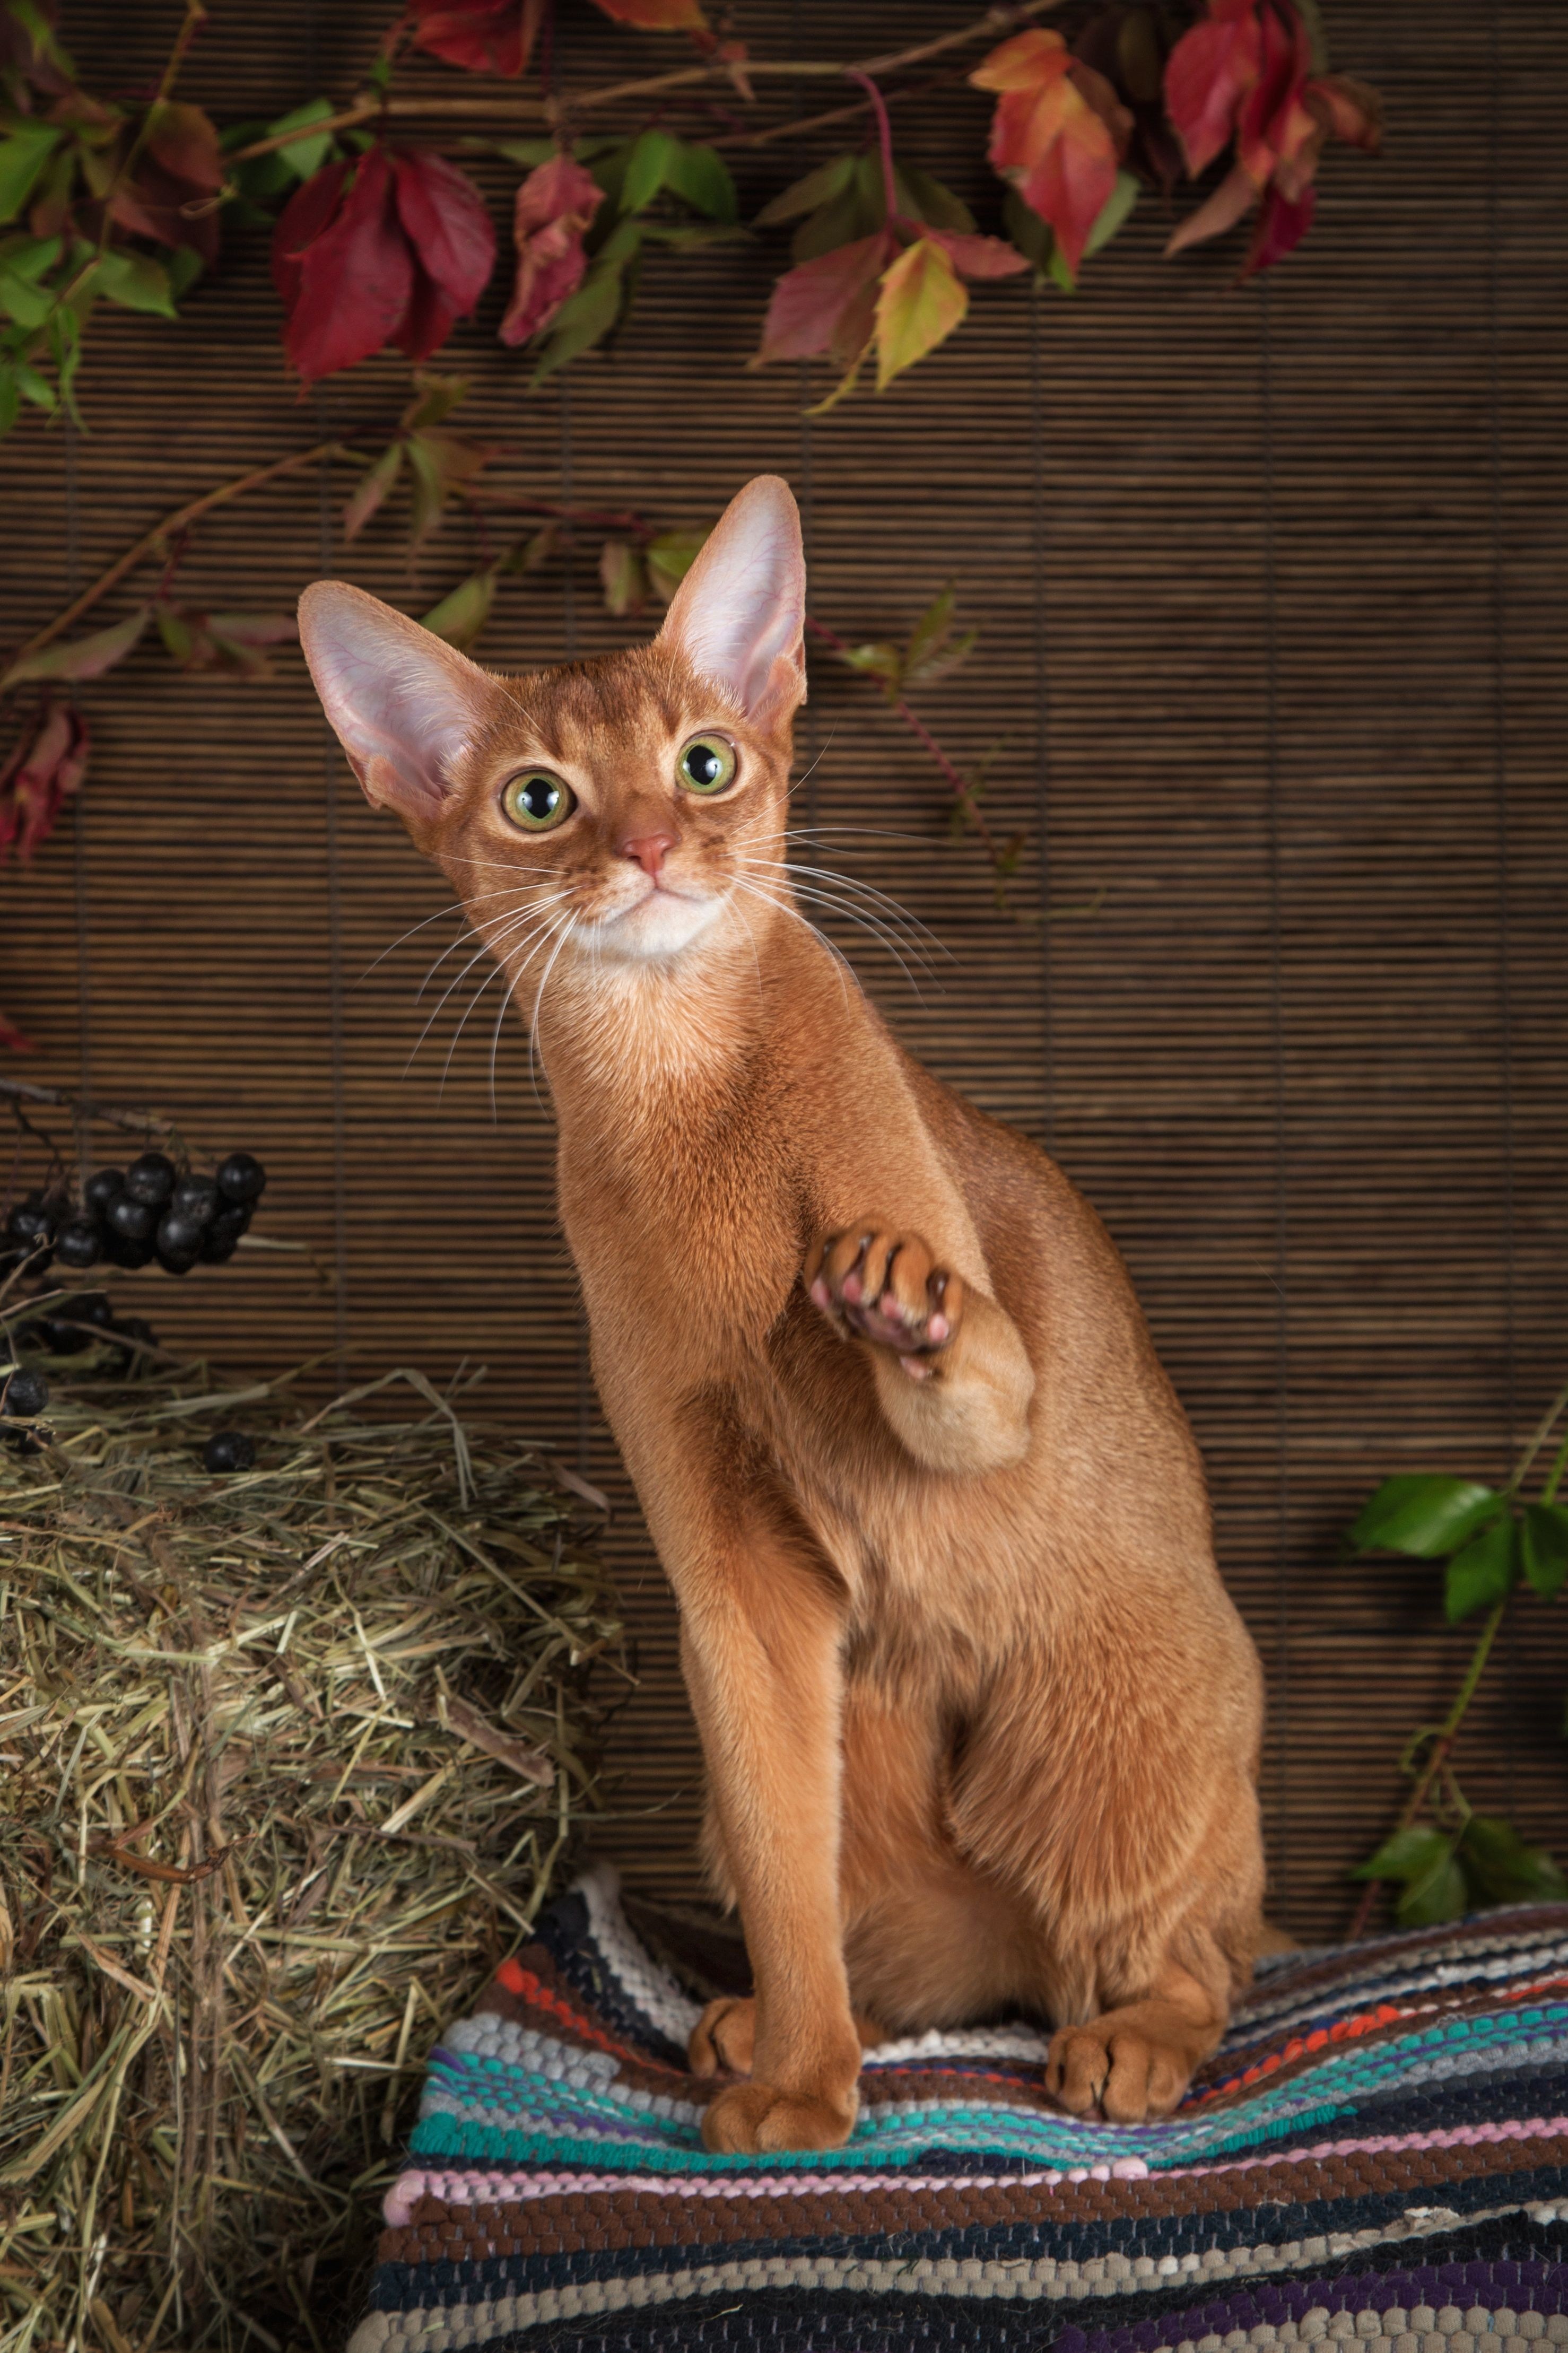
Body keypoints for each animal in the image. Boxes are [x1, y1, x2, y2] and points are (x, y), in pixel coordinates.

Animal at [299, 473, 1262, 2155]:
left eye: (705, 760)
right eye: (539, 799)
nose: (649, 846)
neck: (683, 1085)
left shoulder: (982, 1388)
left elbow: (969, 1366)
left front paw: (899, 1307)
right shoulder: (731, 1586)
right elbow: (777, 1851)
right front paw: (808, 2081)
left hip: (1119, 1727)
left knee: (1195, 1949)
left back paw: (1131, 2044)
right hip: (851, 1743)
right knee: (874, 1930)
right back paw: (772, 2020)